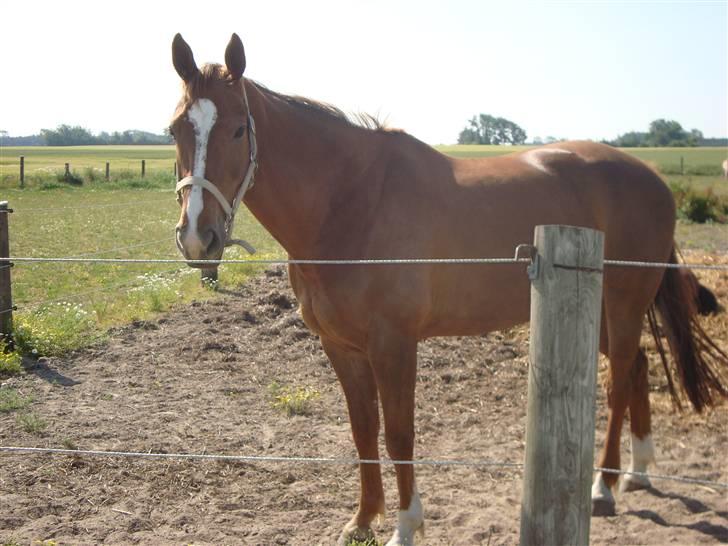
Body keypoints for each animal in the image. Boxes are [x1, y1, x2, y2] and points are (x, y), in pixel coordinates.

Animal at [171, 35, 728, 544]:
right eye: (176, 128)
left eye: (239, 129)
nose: (198, 236)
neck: (350, 201)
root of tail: (652, 177)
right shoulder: (340, 346)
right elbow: (362, 430)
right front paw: (362, 520)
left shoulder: (394, 344)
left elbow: (399, 434)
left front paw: (405, 526)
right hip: (602, 315)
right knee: (637, 369)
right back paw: (636, 472)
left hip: (624, 302)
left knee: (619, 382)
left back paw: (604, 488)